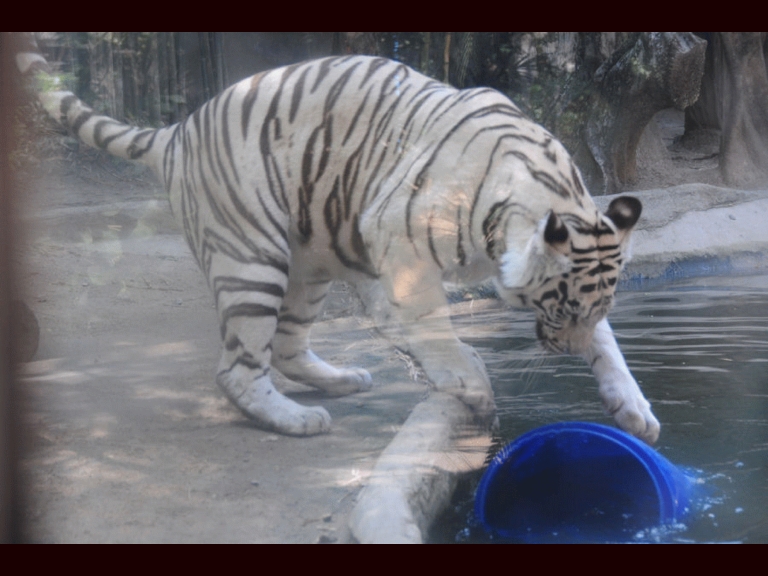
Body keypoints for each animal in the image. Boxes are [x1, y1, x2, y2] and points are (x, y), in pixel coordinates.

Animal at [16, 33, 660, 444]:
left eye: (585, 311)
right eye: (563, 310)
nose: (564, 351)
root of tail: (177, 130)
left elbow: (611, 344)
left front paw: (633, 408)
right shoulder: (401, 243)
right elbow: (435, 328)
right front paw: (472, 383)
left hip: (309, 262)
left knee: (288, 345)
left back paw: (344, 379)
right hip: (254, 258)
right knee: (239, 367)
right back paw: (296, 421)